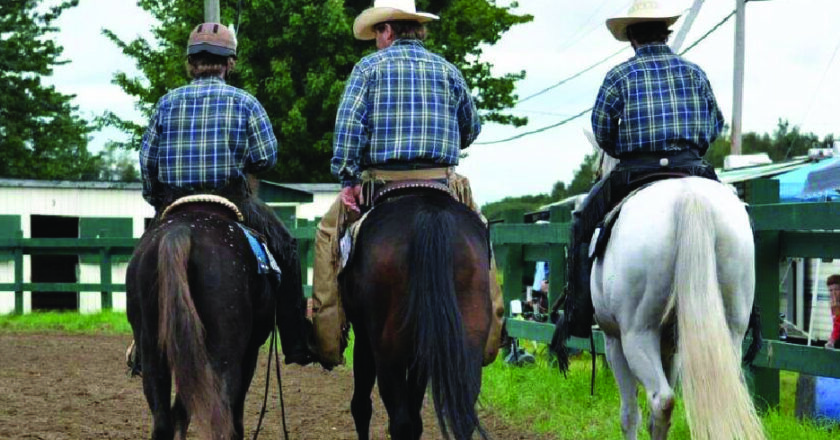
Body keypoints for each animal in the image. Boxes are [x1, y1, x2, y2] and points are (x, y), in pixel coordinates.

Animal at [123, 200, 296, 440]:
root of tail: (181, 231)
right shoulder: (249, 353)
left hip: (153, 350)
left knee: (164, 420)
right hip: (223, 355)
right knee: (220, 418)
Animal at [342, 189, 492, 440]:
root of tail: (432, 214)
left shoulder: (363, 338)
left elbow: (361, 405)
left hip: (387, 351)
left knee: (399, 421)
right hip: (469, 340)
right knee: (463, 417)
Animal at [560, 152, 764, 440]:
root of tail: (691, 198)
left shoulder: (613, 341)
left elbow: (629, 414)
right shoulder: (671, 347)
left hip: (637, 335)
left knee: (661, 400)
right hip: (731, 331)